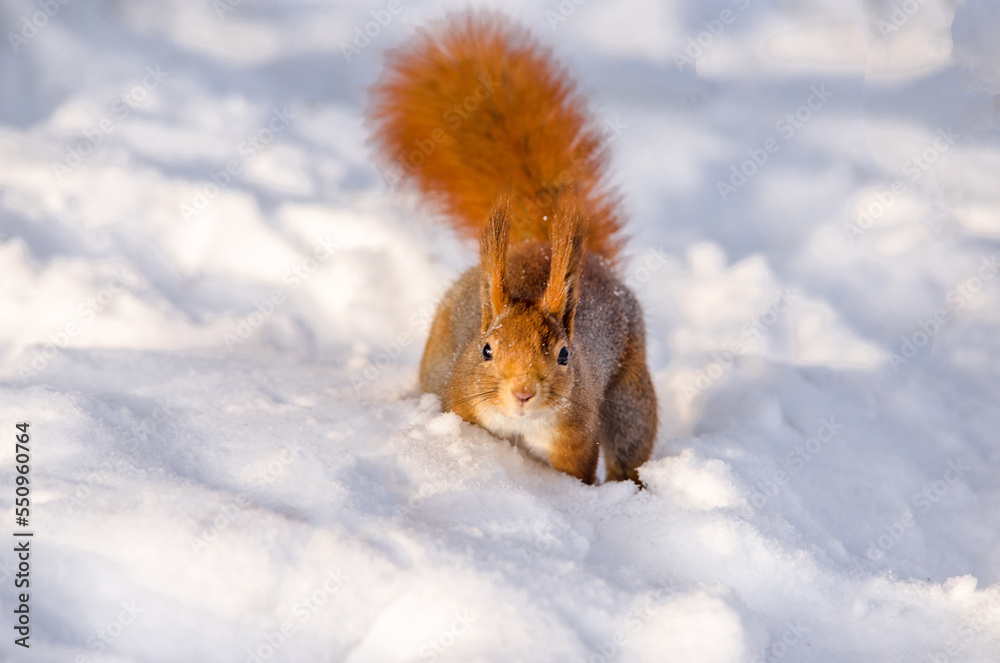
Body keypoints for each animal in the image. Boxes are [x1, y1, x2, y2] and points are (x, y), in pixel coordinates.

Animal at [368, 10, 656, 486]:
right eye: (486, 349)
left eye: (564, 354)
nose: (523, 393)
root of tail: (541, 242)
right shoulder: (462, 403)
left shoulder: (574, 439)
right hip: (437, 358)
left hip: (631, 397)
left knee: (630, 446)